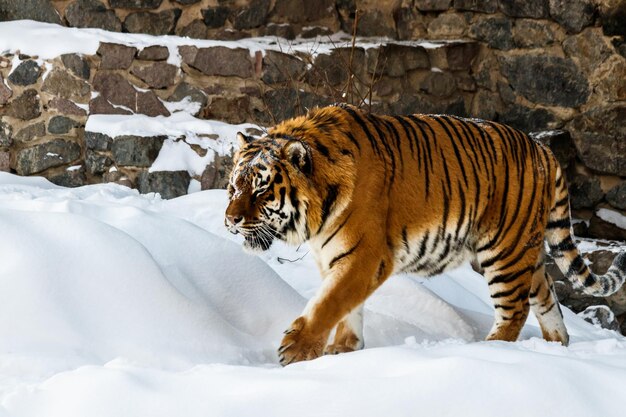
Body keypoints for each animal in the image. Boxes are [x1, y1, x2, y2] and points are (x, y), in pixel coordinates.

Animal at [222, 103, 620, 364]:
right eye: (233, 188)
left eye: (261, 190)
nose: (230, 220)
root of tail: (542, 148)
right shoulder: (336, 256)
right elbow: (345, 305)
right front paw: (344, 350)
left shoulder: (365, 254)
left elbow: (329, 302)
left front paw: (298, 350)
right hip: (525, 251)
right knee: (548, 298)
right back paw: (555, 349)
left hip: (504, 251)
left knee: (515, 309)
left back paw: (489, 350)